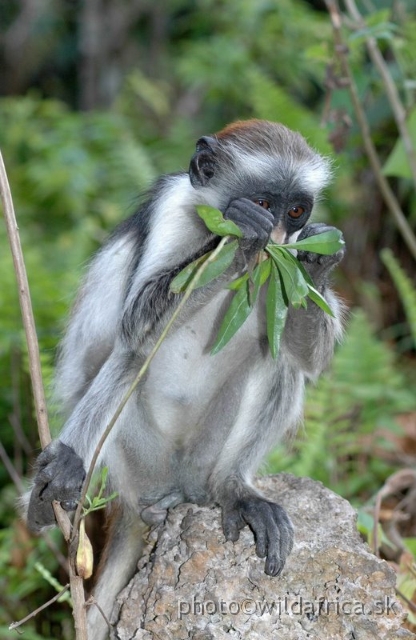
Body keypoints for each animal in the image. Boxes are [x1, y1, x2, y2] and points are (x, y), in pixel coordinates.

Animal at [24, 119, 346, 636]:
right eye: (263, 203)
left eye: (297, 210)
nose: (278, 232)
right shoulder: (173, 207)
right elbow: (135, 325)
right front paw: (240, 240)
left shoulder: (281, 265)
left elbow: (307, 356)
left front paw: (317, 261)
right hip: (137, 461)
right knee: (131, 354)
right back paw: (58, 484)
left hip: (202, 457)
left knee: (277, 361)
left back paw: (235, 490)